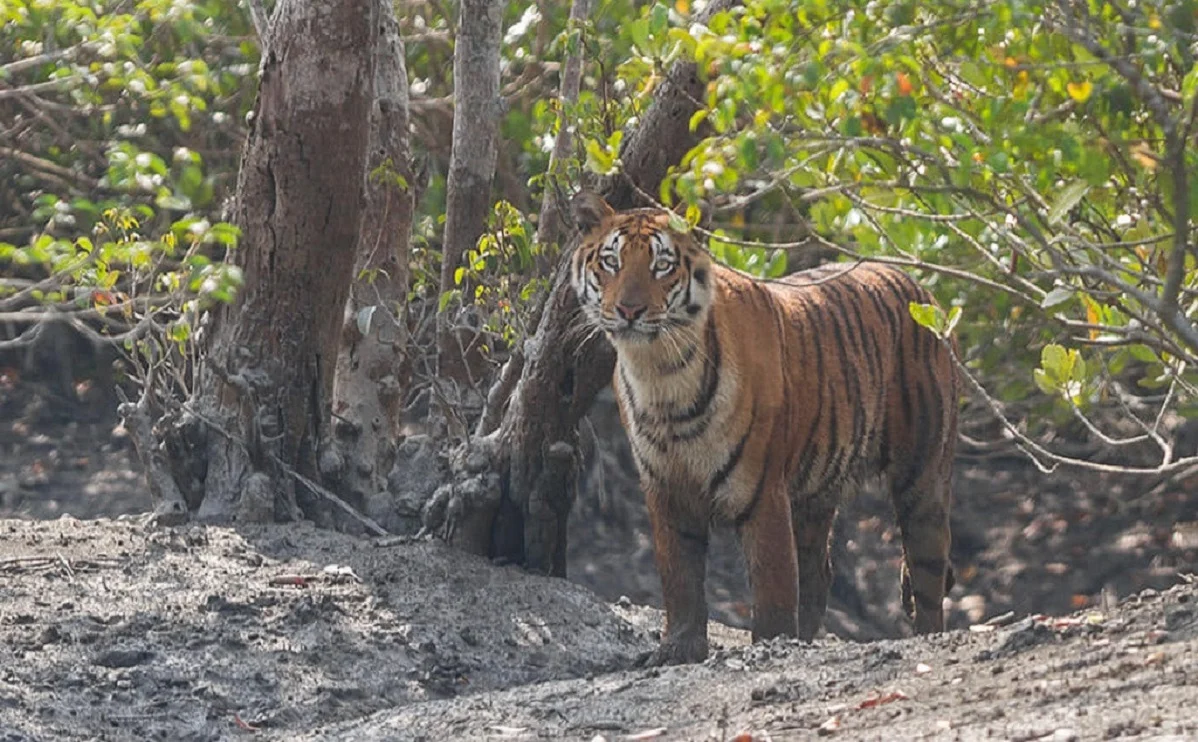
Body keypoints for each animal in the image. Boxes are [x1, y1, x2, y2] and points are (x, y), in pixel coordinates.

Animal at [565, 191, 958, 666]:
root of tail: (921, 288)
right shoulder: (666, 487)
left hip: (922, 476)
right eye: (611, 262)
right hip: (816, 490)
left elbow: (773, 583)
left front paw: (771, 644)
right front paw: (678, 649)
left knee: (927, 572)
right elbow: (680, 577)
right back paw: (806, 637)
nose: (628, 310)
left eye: (661, 264)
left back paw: (927, 637)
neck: (660, 373)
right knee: (819, 571)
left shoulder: (761, 490)